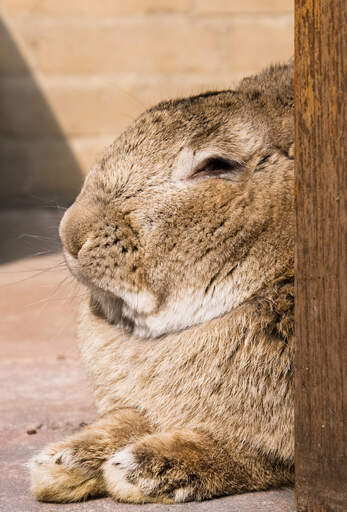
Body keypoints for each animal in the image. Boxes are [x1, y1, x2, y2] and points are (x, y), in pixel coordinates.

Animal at [30, 61, 296, 504]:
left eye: (215, 165)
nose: (72, 234)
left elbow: (251, 452)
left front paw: (145, 469)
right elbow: (129, 418)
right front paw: (64, 463)